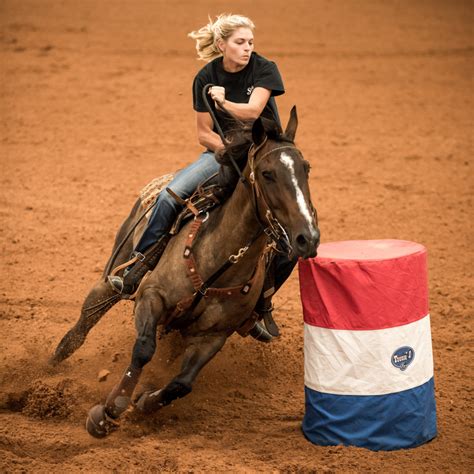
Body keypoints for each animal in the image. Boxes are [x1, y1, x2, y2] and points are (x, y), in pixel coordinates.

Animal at [51, 107, 318, 436]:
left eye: (306, 169)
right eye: (267, 174)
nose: (308, 237)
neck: (217, 263)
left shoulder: (213, 336)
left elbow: (182, 384)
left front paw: (144, 402)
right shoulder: (151, 297)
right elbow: (143, 349)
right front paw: (108, 412)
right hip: (114, 272)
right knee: (85, 322)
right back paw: (49, 365)